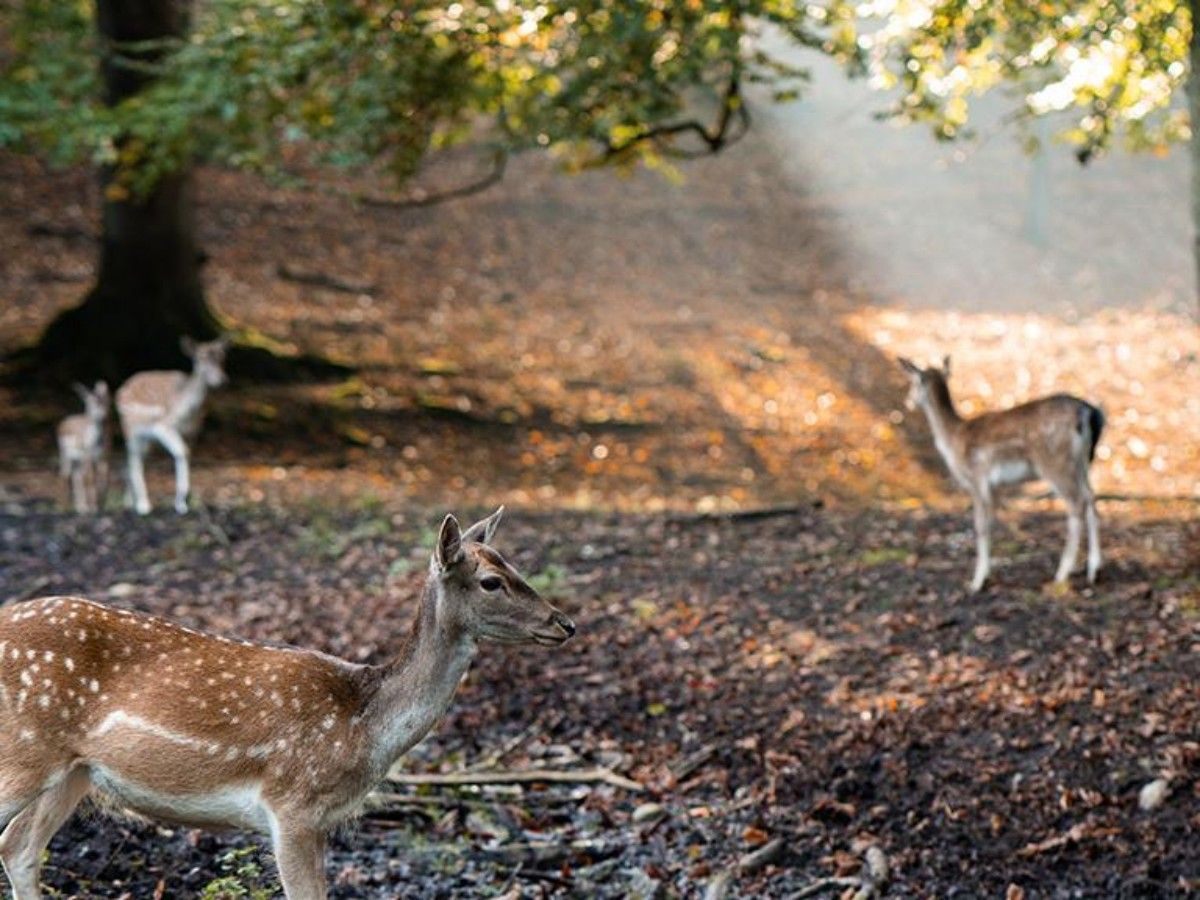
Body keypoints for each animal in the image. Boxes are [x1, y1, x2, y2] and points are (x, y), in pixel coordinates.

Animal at [0, 507, 575, 899]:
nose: (564, 623)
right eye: (491, 581)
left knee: (19, 849)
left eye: (514, 565)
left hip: (72, 771)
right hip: (23, 753)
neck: (363, 726)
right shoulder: (292, 806)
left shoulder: (318, 822)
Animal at [56, 381, 110, 514]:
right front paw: (94, 508)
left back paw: (81, 508)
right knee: (64, 475)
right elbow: (90, 479)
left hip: (77, 460)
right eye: (90, 402)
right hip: (65, 456)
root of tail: (63, 423)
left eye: (104, 400)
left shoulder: (104, 458)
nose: (102, 415)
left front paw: (101, 505)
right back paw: (62, 507)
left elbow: (104, 479)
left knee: (76, 477)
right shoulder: (88, 456)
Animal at [116, 336, 228, 515]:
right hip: (131, 429)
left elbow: (187, 453)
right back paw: (143, 505)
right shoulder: (163, 426)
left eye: (222, 358)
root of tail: (119, 392)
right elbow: (182, 452)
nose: (223, 380)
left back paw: (129, 503)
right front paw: (182, 503)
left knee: (134, 458)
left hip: (147, 440)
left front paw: (184, 502)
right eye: (201, 358)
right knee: (133, 458)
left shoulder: (193, 432)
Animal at [899, 357, 1104, 592]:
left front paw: (977, 582)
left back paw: (1062, 573)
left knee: (1077, 503)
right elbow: (991, 523)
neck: (953, 439)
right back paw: (1094, 570)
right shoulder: (994, 486)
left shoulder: (976, 478)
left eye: (913, 383)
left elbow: (980, 525)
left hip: (1054, 462)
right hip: (1082, 463)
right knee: (1091, 497)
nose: (908, 402)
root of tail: (1088, 412)